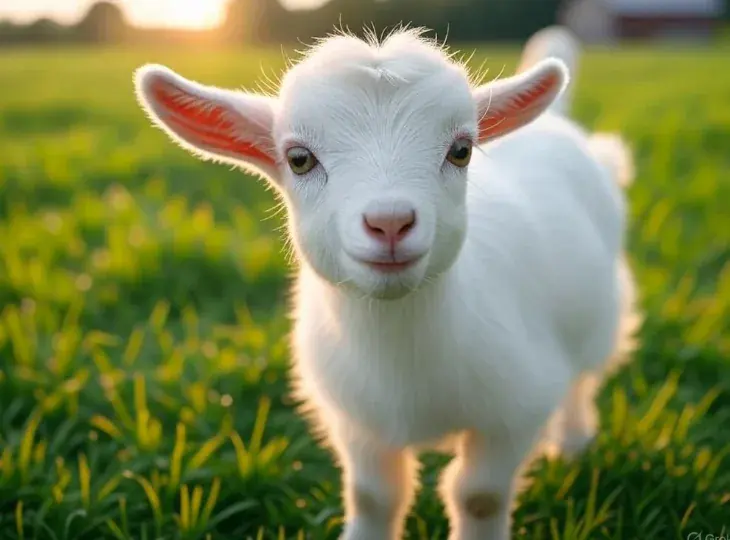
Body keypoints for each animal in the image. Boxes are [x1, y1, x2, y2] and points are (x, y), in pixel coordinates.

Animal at [134, 25, 640, 540]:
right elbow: (374, 496)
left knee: (584, 377)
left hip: (601, 316)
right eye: (299, 159)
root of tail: (554, 122)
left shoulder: (516, 409)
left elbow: (478, 496)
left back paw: (574, 441)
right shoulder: (357, 423)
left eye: (461, 150)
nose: (390, 222)